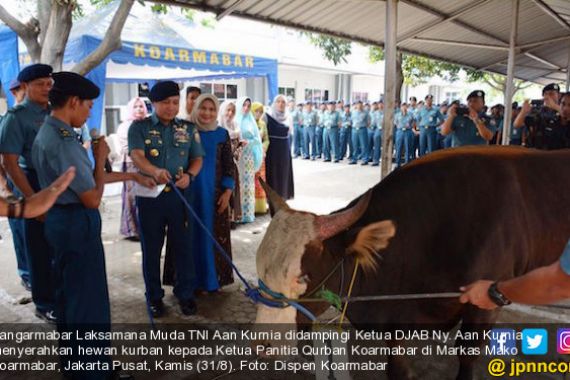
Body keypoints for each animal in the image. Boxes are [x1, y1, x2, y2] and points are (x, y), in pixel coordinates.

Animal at [254, 146, 568, 380]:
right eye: (259, 272)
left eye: (303, 277)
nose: (265, 345)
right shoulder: (397, 318)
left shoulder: (484, 306)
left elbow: (467, 356)